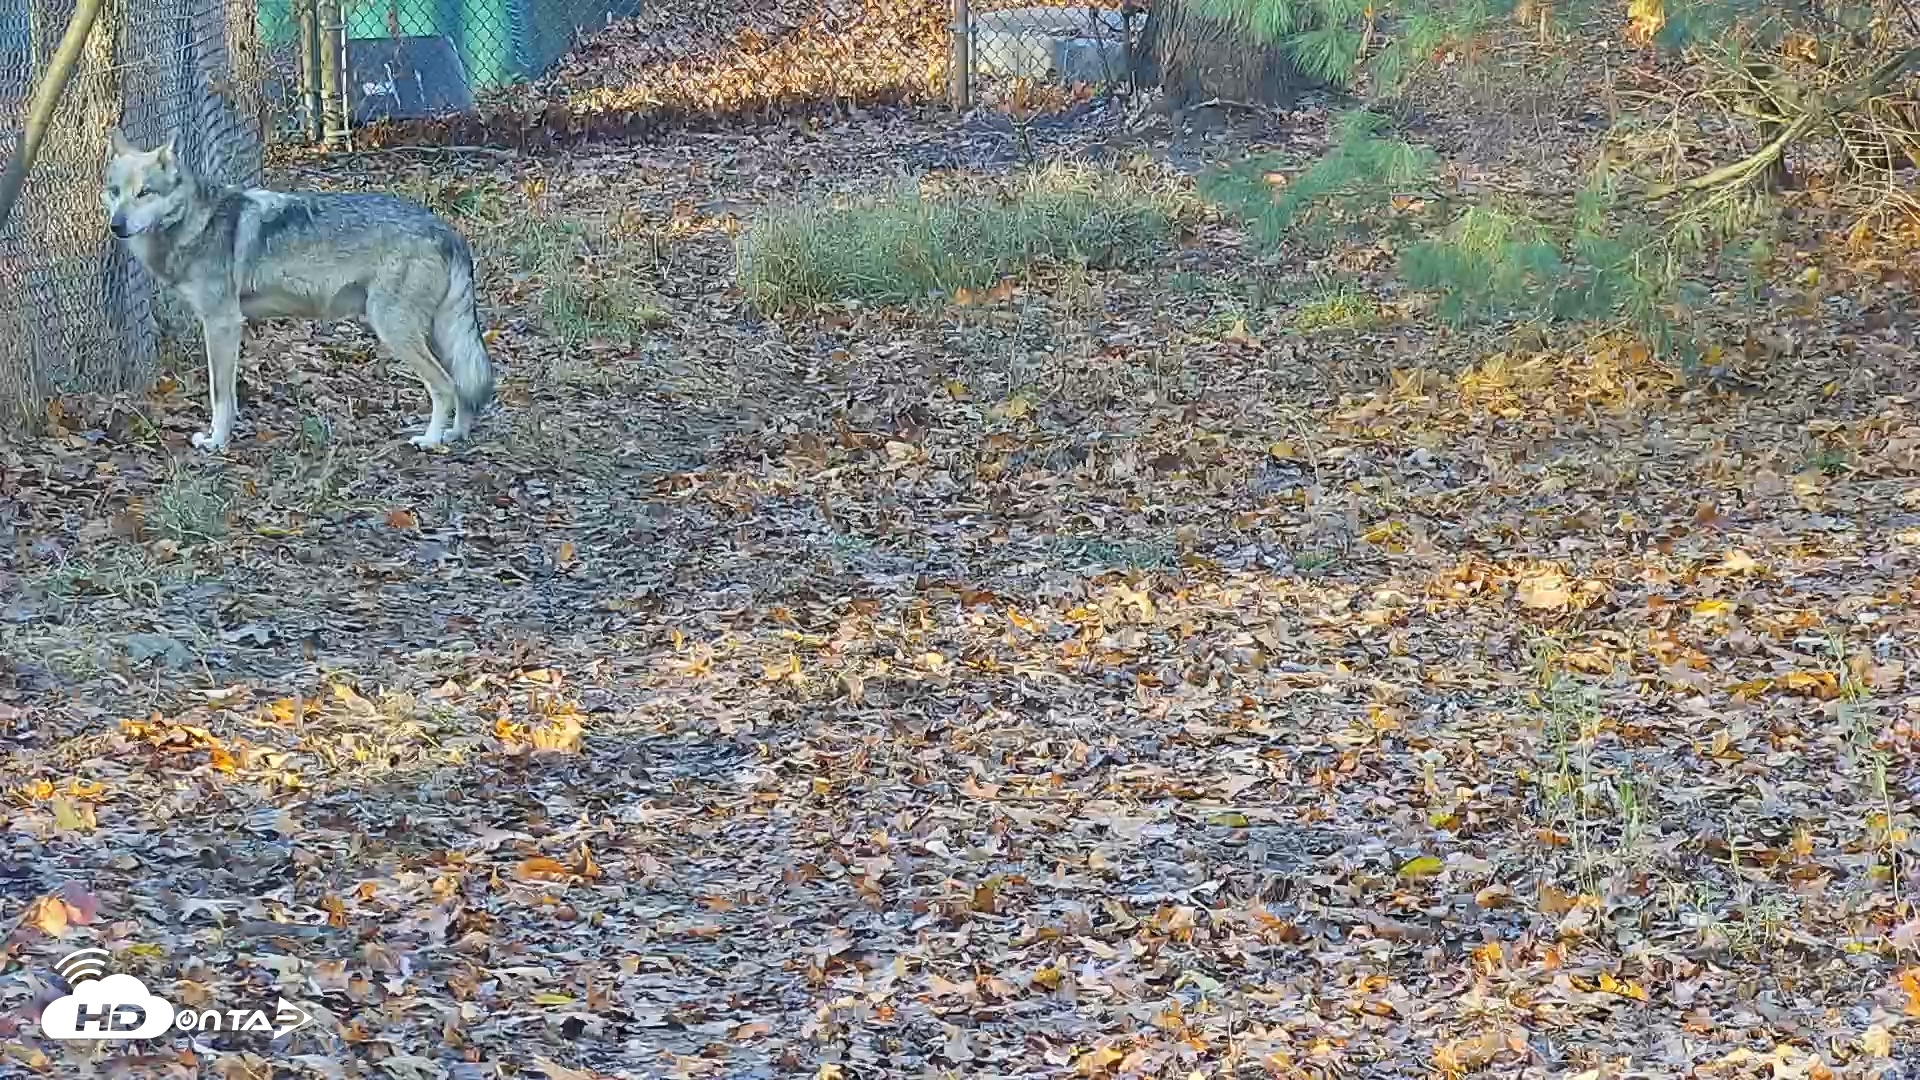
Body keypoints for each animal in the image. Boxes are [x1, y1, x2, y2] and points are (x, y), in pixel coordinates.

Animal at [101, 129, 494, 451]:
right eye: (115, 192)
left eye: (145, 193)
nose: (116, 225)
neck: (196, 223)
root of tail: (449, 232)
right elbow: (230, 396)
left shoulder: (222, 323)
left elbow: (220, 395)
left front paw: (216, 442)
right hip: (435, 334)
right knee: (464, 384)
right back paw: (454, 435)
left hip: (395, 330)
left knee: (446, 385)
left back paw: (430, 440)